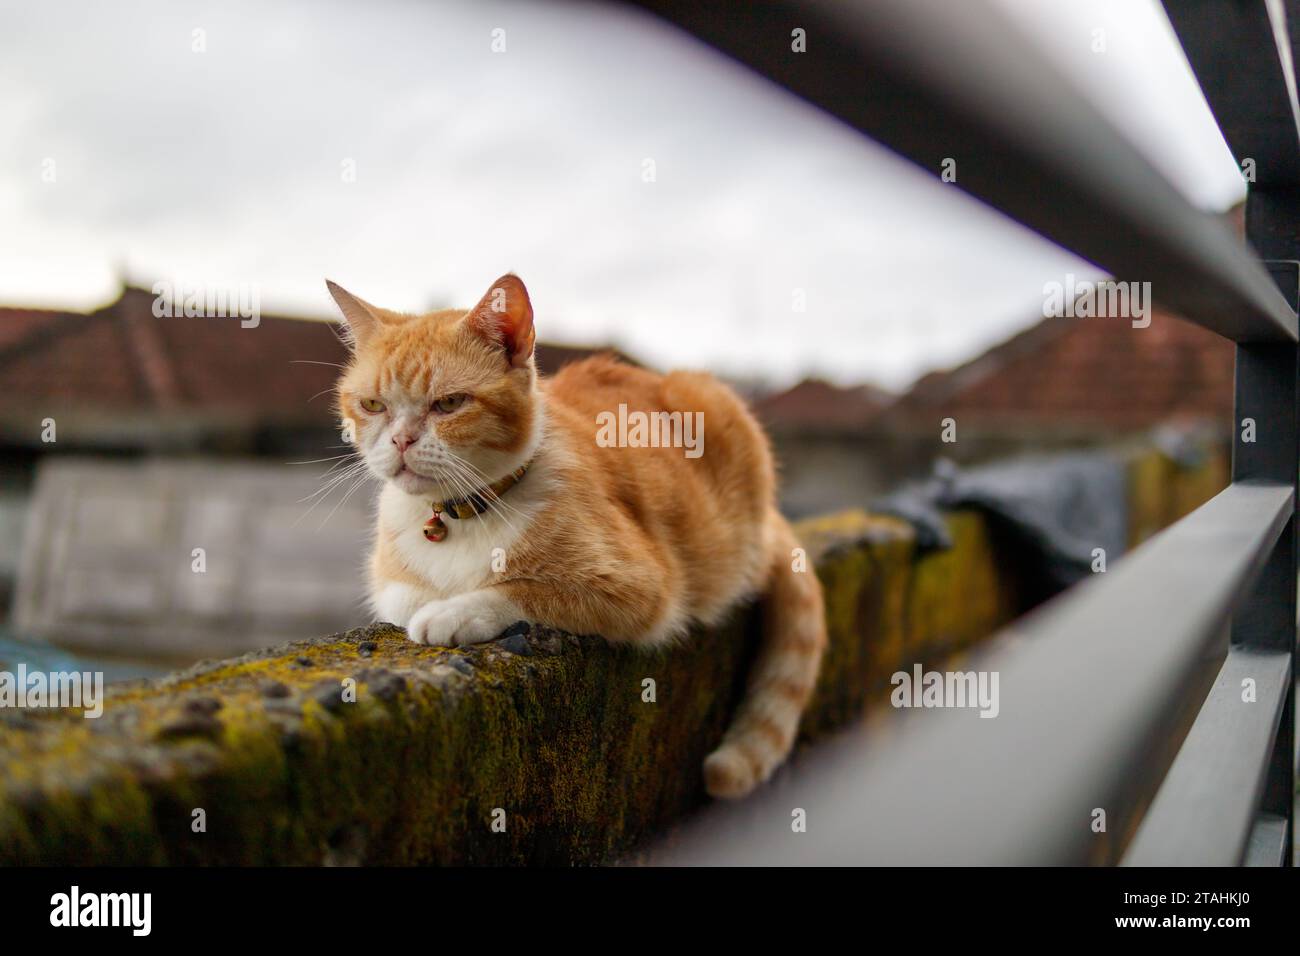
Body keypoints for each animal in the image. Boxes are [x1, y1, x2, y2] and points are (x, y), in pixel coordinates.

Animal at [330, 274, 826, 801]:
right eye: (373, 405)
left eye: (449, 403)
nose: (400, 441)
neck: (462, 513)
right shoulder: (391, 584)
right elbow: (405, 599)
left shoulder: (640, 588)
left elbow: (519, 590)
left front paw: (453, 612)